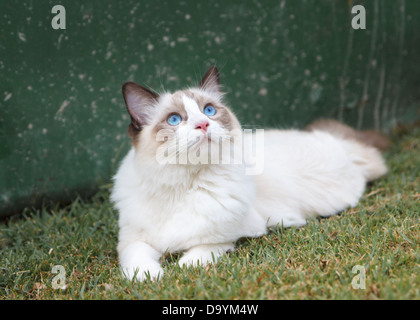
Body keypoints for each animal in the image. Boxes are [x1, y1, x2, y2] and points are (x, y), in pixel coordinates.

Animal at [110, 66, 388, 282]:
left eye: (209, 111)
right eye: (175, 119)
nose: (203, 124)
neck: (184, 184)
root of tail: (341, 144)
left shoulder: (227, 236)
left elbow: (196, 256)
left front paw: (180, 269)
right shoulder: (133, 239)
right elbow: (135, 259)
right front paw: (150, 278)